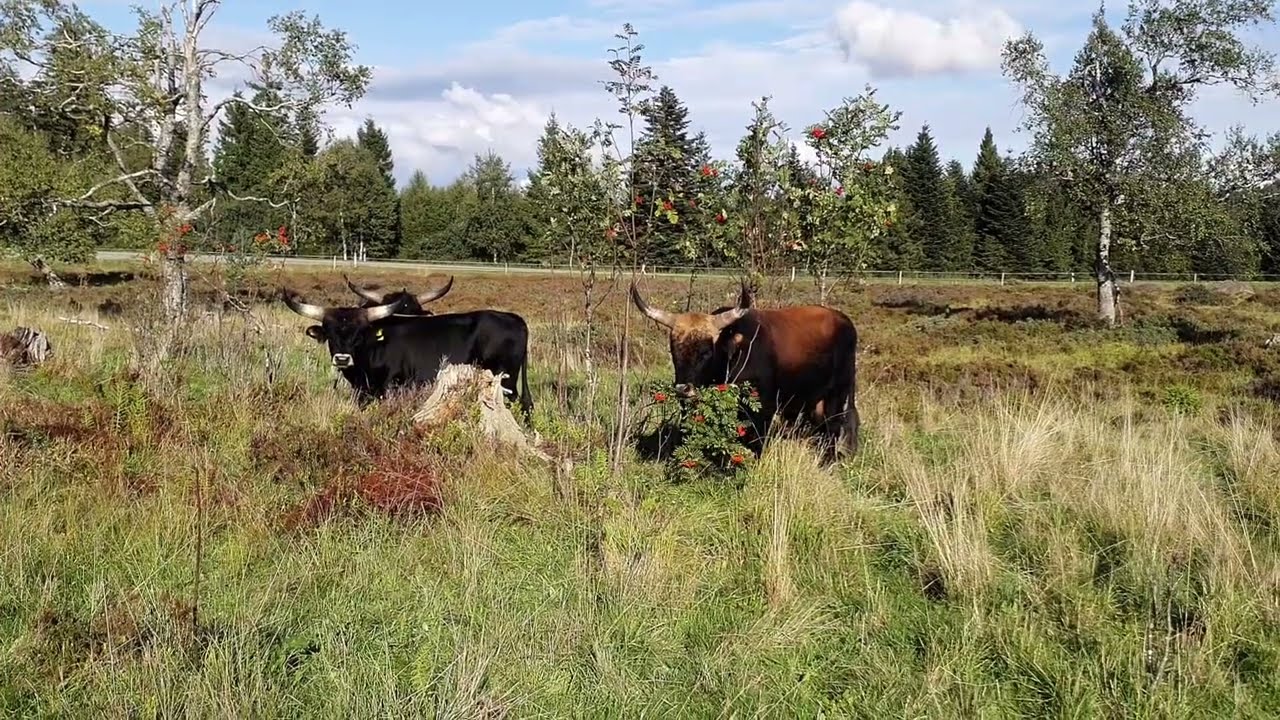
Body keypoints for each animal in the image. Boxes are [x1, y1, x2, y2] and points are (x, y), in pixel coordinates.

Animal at [282, 290, 533, 418]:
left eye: (359, 334)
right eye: (330, 334)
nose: (342, 358)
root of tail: (515, 319)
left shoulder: (391, 388)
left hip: (505, 382)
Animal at [630, 281, 859, 461]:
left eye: (706, 352)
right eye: (674, 350)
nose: (683, 389)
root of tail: (844, 321)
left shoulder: (763, 409)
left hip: (837, 395)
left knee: (832, 428)